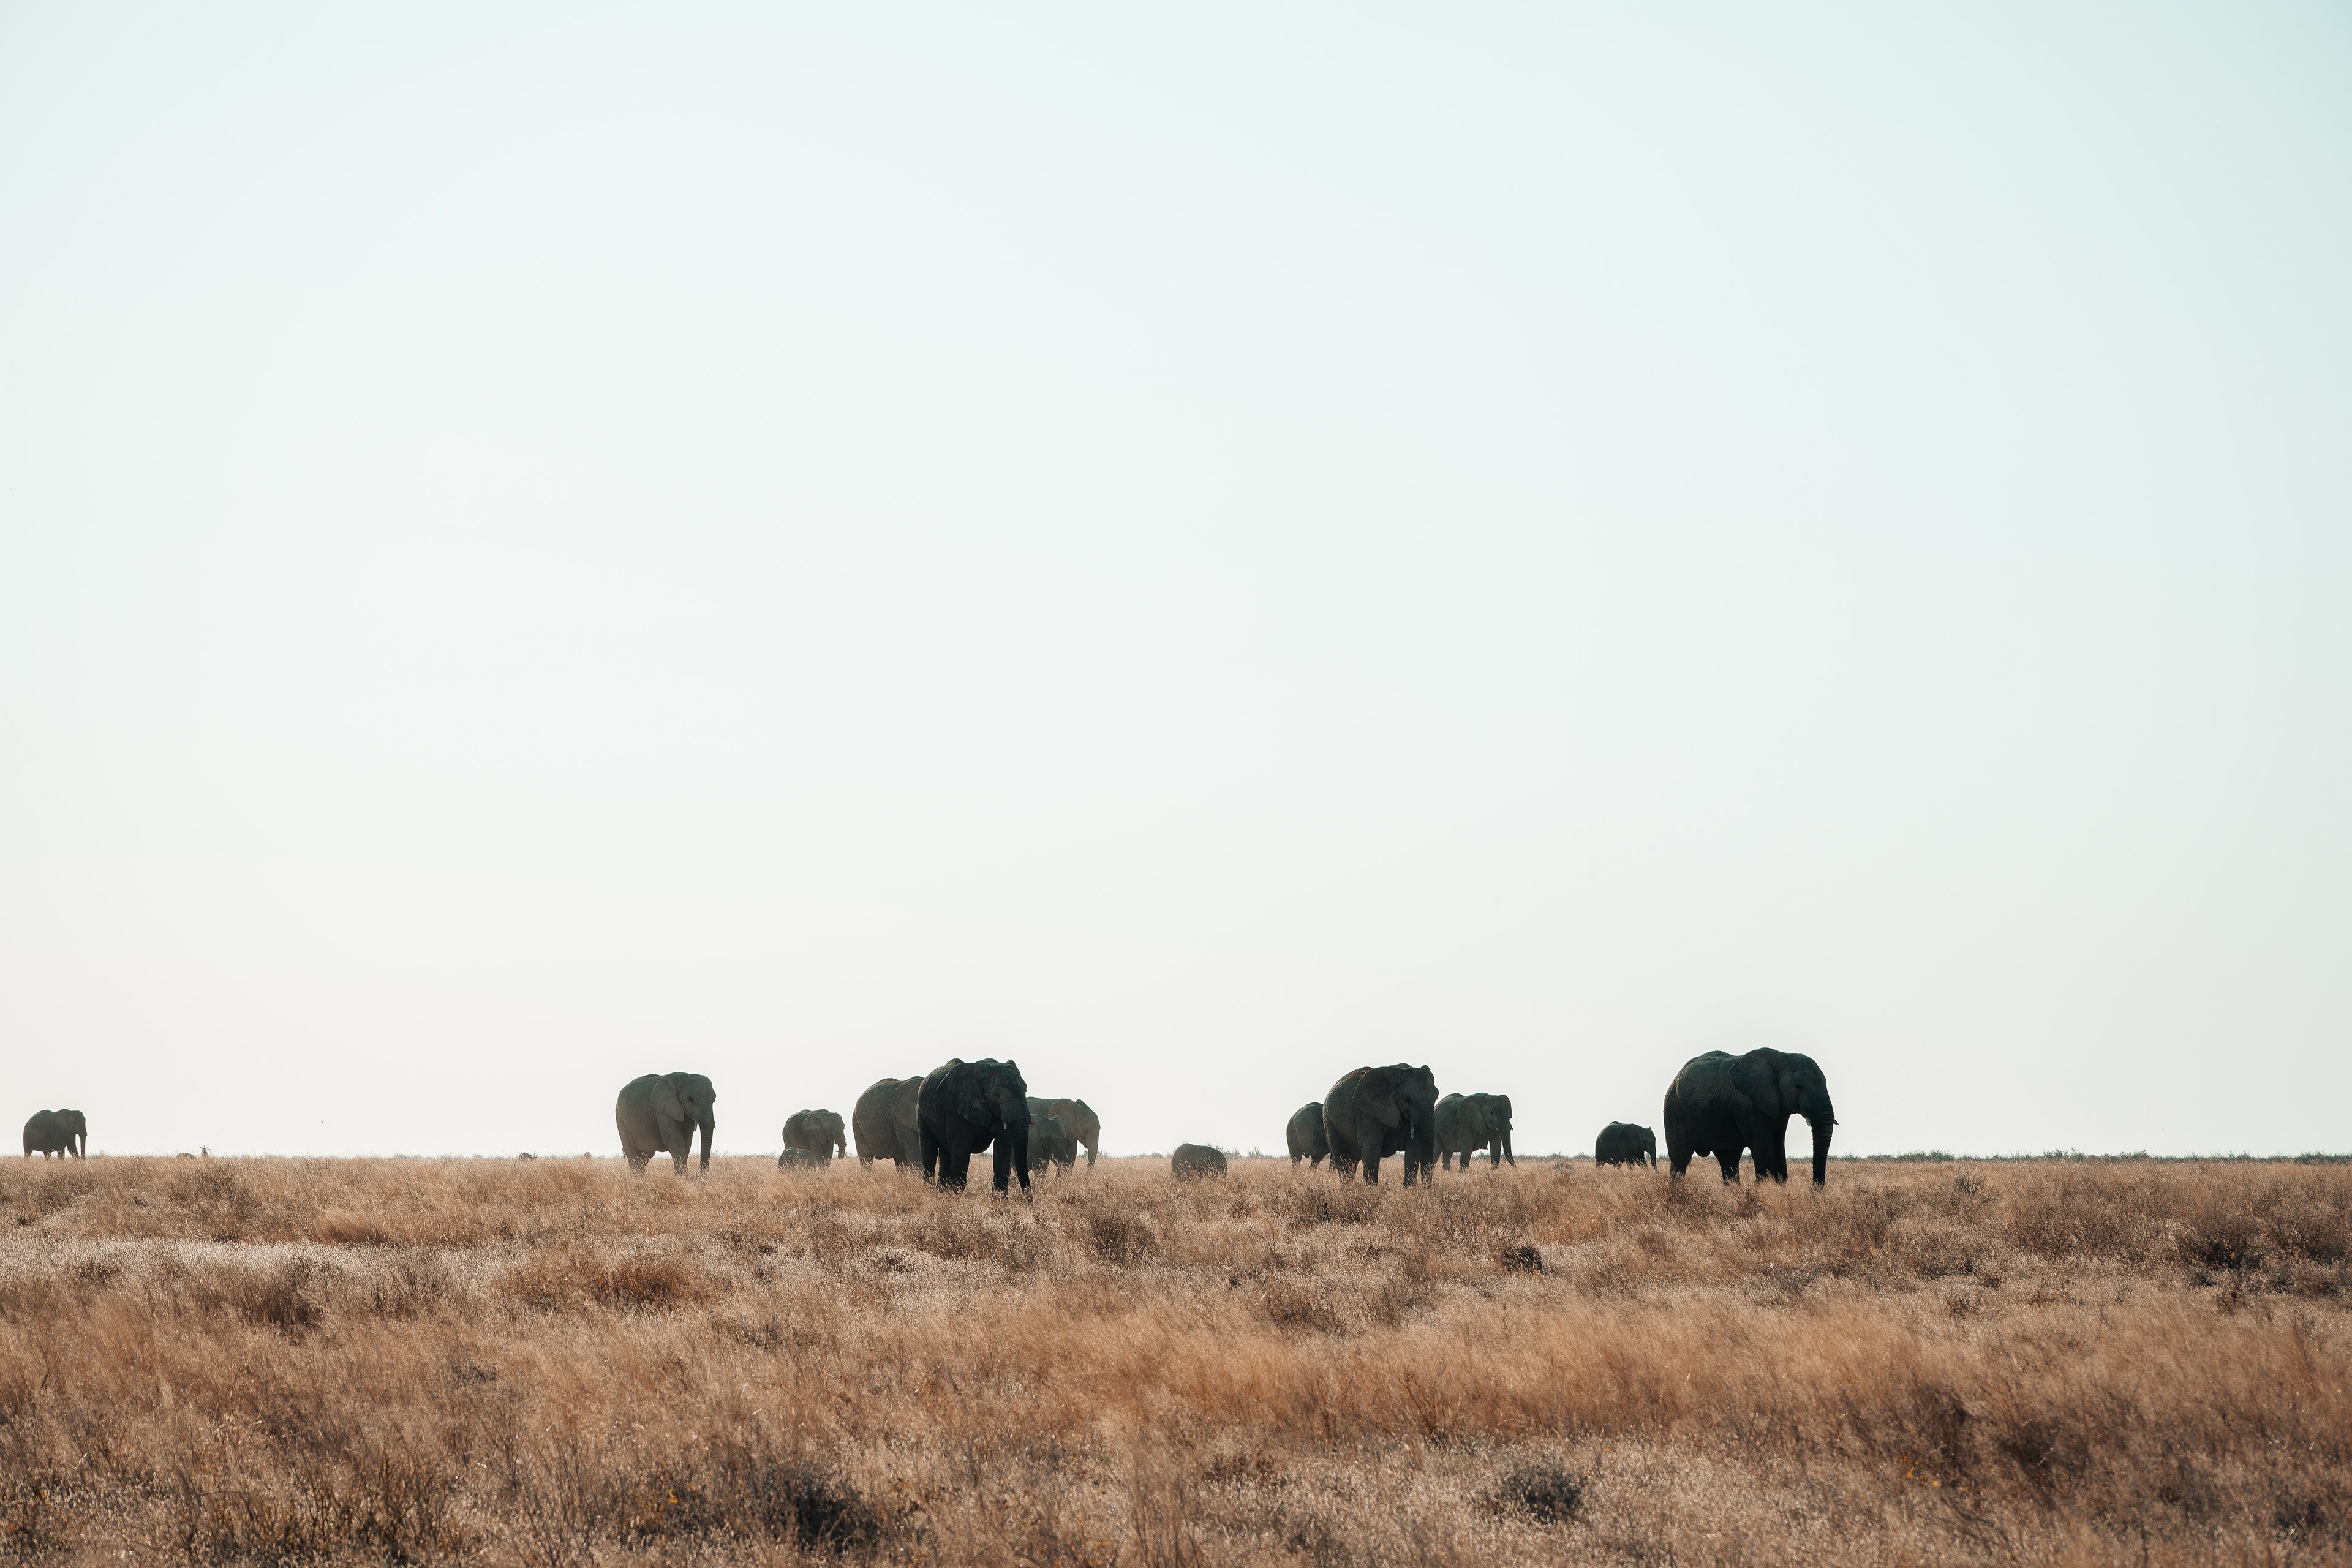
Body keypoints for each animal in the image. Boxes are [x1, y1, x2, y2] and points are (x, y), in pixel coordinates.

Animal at [615, 1072, 716, 1175]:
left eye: (714, 1100)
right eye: (690, 1100)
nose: (701, 1175)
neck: (683, 1079)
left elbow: (687, 1142)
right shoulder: (663, 1111)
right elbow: (674, 1141)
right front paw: (682, 1176)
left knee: (643, 1159)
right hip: (621, 1121)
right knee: (634, 1157)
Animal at [916, 1057, 1032, 1193]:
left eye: (1025, 1090)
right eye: (997, 1094)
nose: (1028, 1197)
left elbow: (1003, 1150)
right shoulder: (957, 1109)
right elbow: (962, 1150)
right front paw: (956, 1195)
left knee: (946, 1156)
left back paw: (942, 1192)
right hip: (921, 1113)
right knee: (929, 1153)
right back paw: (929, 1191)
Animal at [1323, 1064, 1438, 1185]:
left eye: (1436, 1097)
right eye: (1408, 1100)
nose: (1427, 1187)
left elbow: (1413, 1150)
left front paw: (1410, 1188)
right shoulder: (1368, 1113)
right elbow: (1372, 1148)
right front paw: (1371, 1188)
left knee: (1351, 1162)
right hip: (1329, 1120)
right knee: (1343, 1160)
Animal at [1434, 1091, 1516, 1171]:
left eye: (1509, 1112)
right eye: (1491, 1113)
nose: (1515, 1168)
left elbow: (1496, 1146)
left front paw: (1494, 1172)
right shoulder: (1463, 1124)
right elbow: (1467, 1148)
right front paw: (1463, 1174)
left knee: (1448, 1153)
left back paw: (1446, 1172)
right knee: (1436, 1150)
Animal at [1663, 1049, 1837, 1185]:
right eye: (1798, 1087)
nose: (1813, 1189)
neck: (1782, 1057)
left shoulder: (1779, 1108)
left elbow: (1778, 1145)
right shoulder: (1748, 1106)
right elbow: (1763, 1147)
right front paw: (1765, 1186)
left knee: (1729, 1161)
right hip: (1674, 1110)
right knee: (1679, 1160)